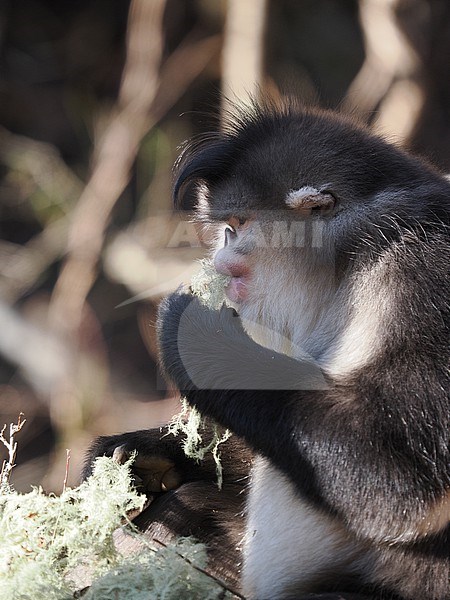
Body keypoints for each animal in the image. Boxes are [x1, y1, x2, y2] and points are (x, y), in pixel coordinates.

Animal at [83, 103, 446, 600]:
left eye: (239, 227)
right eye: (226, 231)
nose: (220, 263)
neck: (353, 263)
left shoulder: (422, 279)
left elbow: (401, 482)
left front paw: (194, 336)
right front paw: (146, 457)